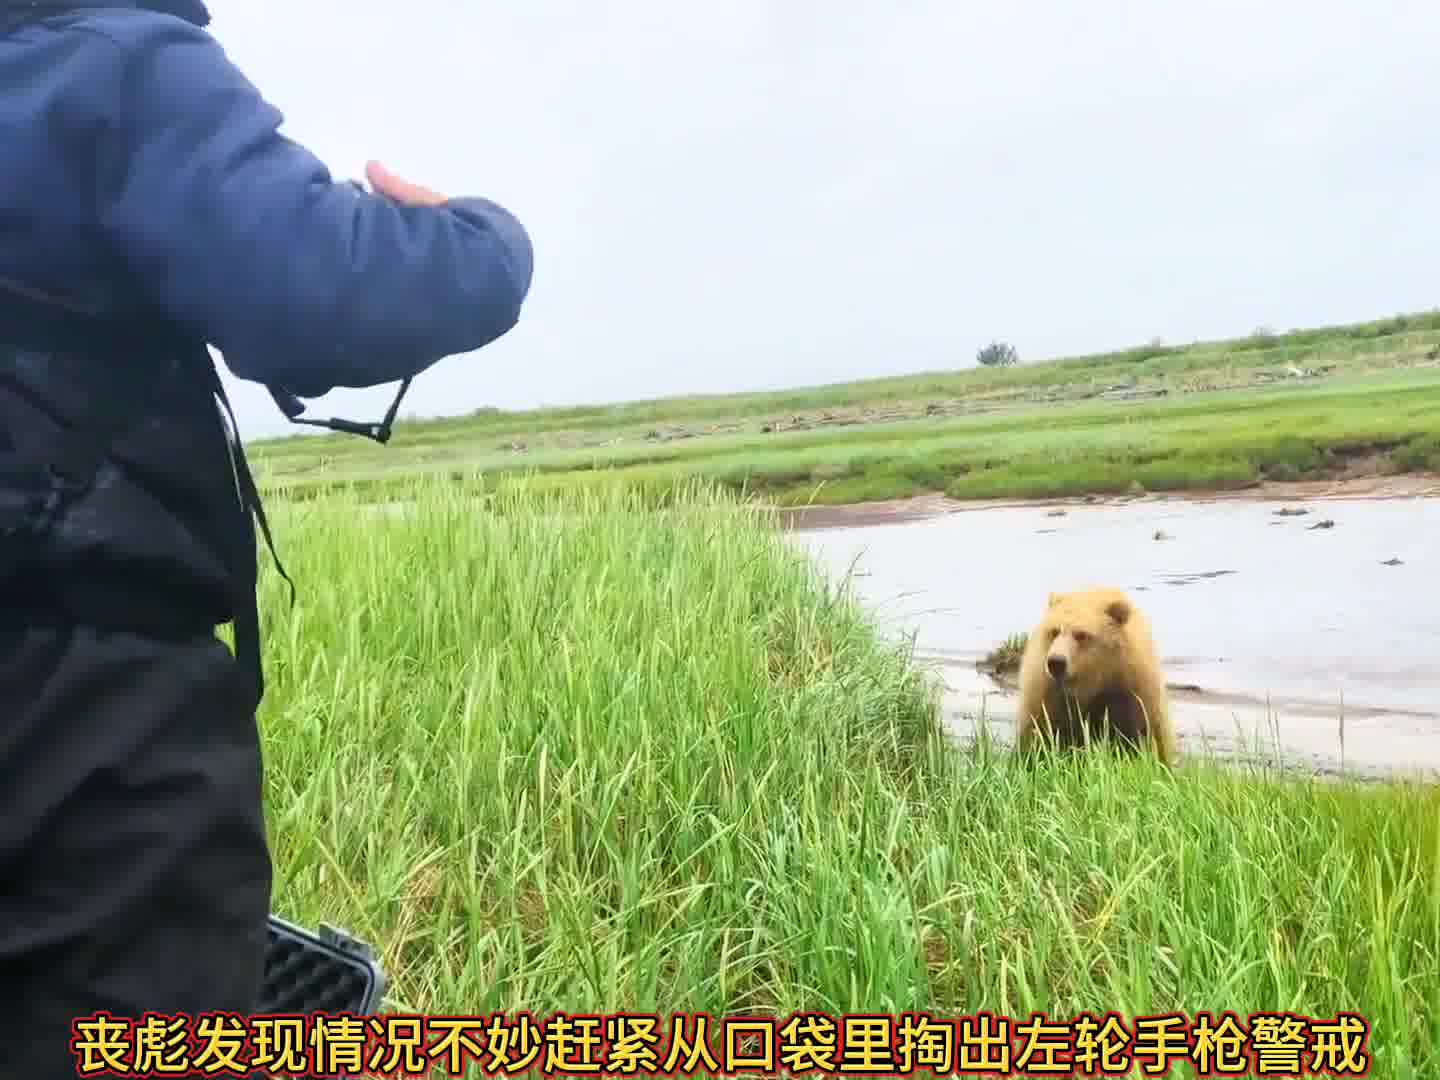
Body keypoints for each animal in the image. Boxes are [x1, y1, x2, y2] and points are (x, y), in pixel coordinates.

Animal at [1014, 586, 1176, 767]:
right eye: (1054, 631)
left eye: (1081, 634)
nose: (1056, 662)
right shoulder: (1047, 698)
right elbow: (1040, 738)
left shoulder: (1133, 695)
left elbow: (1143, 738)